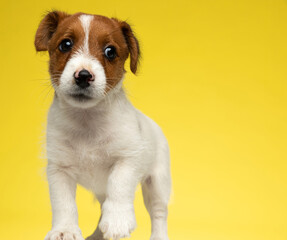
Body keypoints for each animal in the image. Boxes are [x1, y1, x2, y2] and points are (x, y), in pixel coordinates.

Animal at [35, 10, 172, 240]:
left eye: (110, 51)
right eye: (65, 44)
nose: (83, 76)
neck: (87, 120)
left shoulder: (127, 159)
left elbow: (118, 186)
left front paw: (118, 221)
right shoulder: (58, 169)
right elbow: (64, 203)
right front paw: (65, 230)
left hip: (158, 184)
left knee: (159, 213)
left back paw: (158, 236)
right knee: (102, 206)